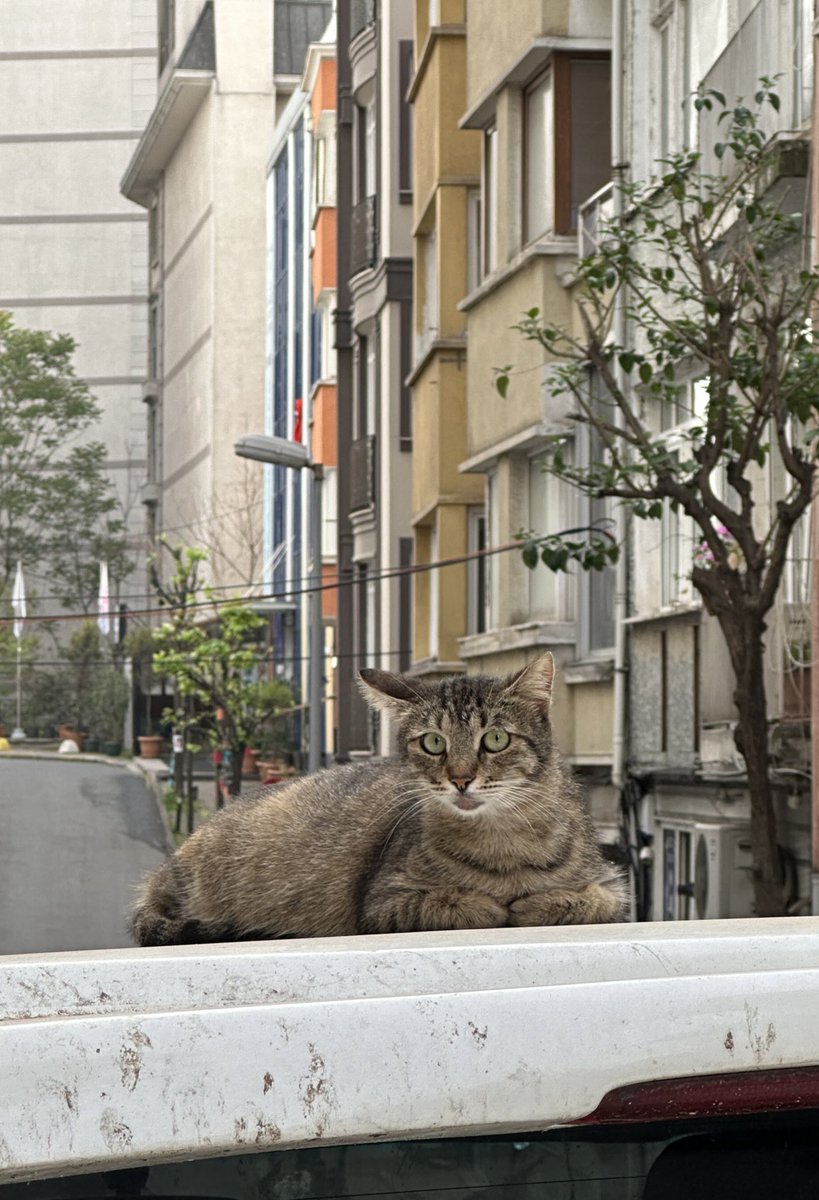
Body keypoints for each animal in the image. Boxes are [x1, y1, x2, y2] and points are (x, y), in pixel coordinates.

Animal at [129, 657, 624, 945]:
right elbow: (454, 903)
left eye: (496, 739)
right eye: (433, 743)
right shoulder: (383, 902)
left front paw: (538, 902)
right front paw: (492, 904)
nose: (461, 780)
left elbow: (590, 899)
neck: (501, 841)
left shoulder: (614, 886)